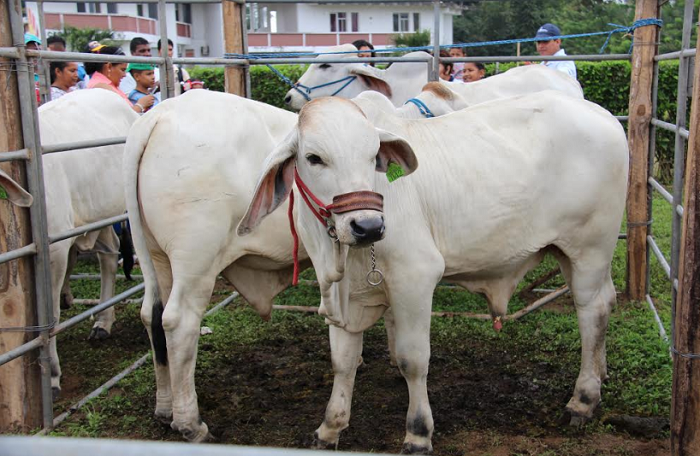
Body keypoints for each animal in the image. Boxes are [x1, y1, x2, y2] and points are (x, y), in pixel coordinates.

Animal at [38, 89, 139, 396]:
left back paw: (103, 321)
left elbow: (50, 315)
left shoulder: (53, 249)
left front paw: (52, 375)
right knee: (108, 253)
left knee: (111, 256)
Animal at [241, 92, 628, 452]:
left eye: (372, 156)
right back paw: (601, 374)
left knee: (591, 312)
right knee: (606, 302)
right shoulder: (340, 295)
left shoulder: (415, 278)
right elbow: (343, 361)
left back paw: (583, 399)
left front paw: (418, 433)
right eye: (314, 158)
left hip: (590, 249)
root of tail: (602, 114)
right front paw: (330, 427)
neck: (340, 252)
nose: (368, 227)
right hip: (572, 254)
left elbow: (413, 360)